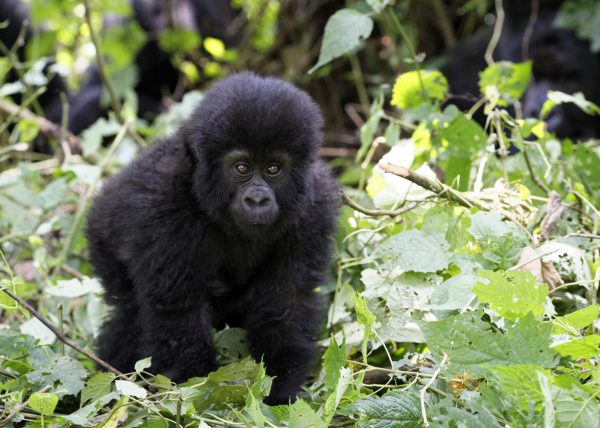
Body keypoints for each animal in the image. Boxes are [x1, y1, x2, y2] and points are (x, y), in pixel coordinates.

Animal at [85, 73, 340, 404]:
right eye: (242, 167)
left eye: (273, 168)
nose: (257, 199)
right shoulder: (165, 206)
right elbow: (178, 312)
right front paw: (202, 396)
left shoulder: (314, 208)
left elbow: (284, 305)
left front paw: (277, 393)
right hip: (102, 245)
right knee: (128, 314)